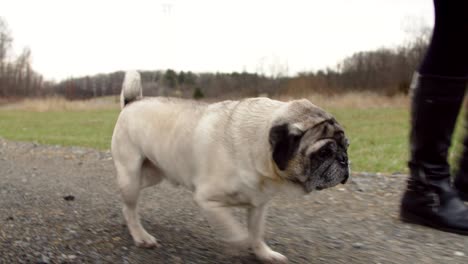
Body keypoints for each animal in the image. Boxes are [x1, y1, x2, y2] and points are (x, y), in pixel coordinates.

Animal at [111, 70, 350, 262]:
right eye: (324, 153)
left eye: (346, 146)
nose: (344, 160)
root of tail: (132, 102)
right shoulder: (208, 201)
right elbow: (238, 232)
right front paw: (240, 244)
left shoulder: (258, 206)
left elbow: (256, 233)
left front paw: (264, 253)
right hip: (131, 174)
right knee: (131, 206)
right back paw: (141, 235)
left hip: (153, 173)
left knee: (129, 202)